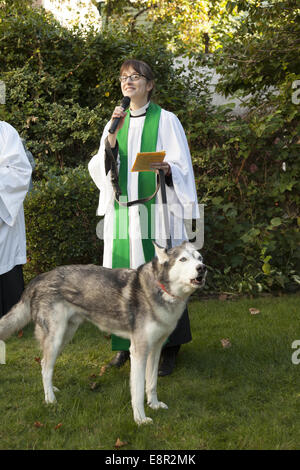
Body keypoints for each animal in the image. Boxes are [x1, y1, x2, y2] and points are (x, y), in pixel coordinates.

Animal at [0, 241, 206, 424]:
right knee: (45, 367)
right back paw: (50, 399)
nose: (202, 268)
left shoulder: (155, 350)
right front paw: (140, 419)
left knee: (45, 365)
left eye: (199, 258)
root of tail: (38, 278)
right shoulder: (138, 352)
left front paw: (154, 405)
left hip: (65, 336)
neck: (159, 290)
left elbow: (152, 384)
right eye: (183, 259)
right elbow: (138, 391)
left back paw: (52, 390)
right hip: (56, 338)